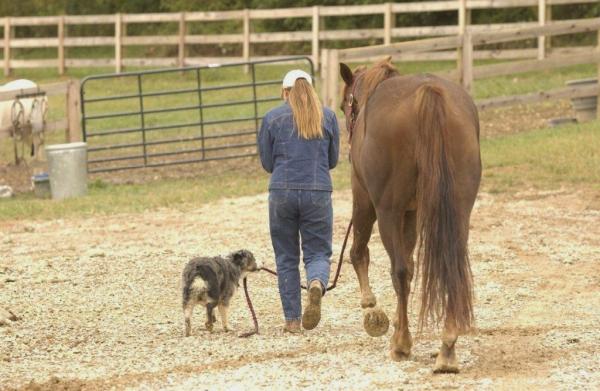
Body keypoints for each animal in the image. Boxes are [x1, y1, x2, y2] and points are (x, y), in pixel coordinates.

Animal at [338, 59, 482, 374]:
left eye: (344, 106)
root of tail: (429, 93)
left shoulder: (366, 200)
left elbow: (359, 252)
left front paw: (371, 307)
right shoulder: (412, 212)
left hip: (387, 212)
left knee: (399, 271)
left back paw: (402, 344)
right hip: (458, 210)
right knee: (450, 266)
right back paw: (447, 349)